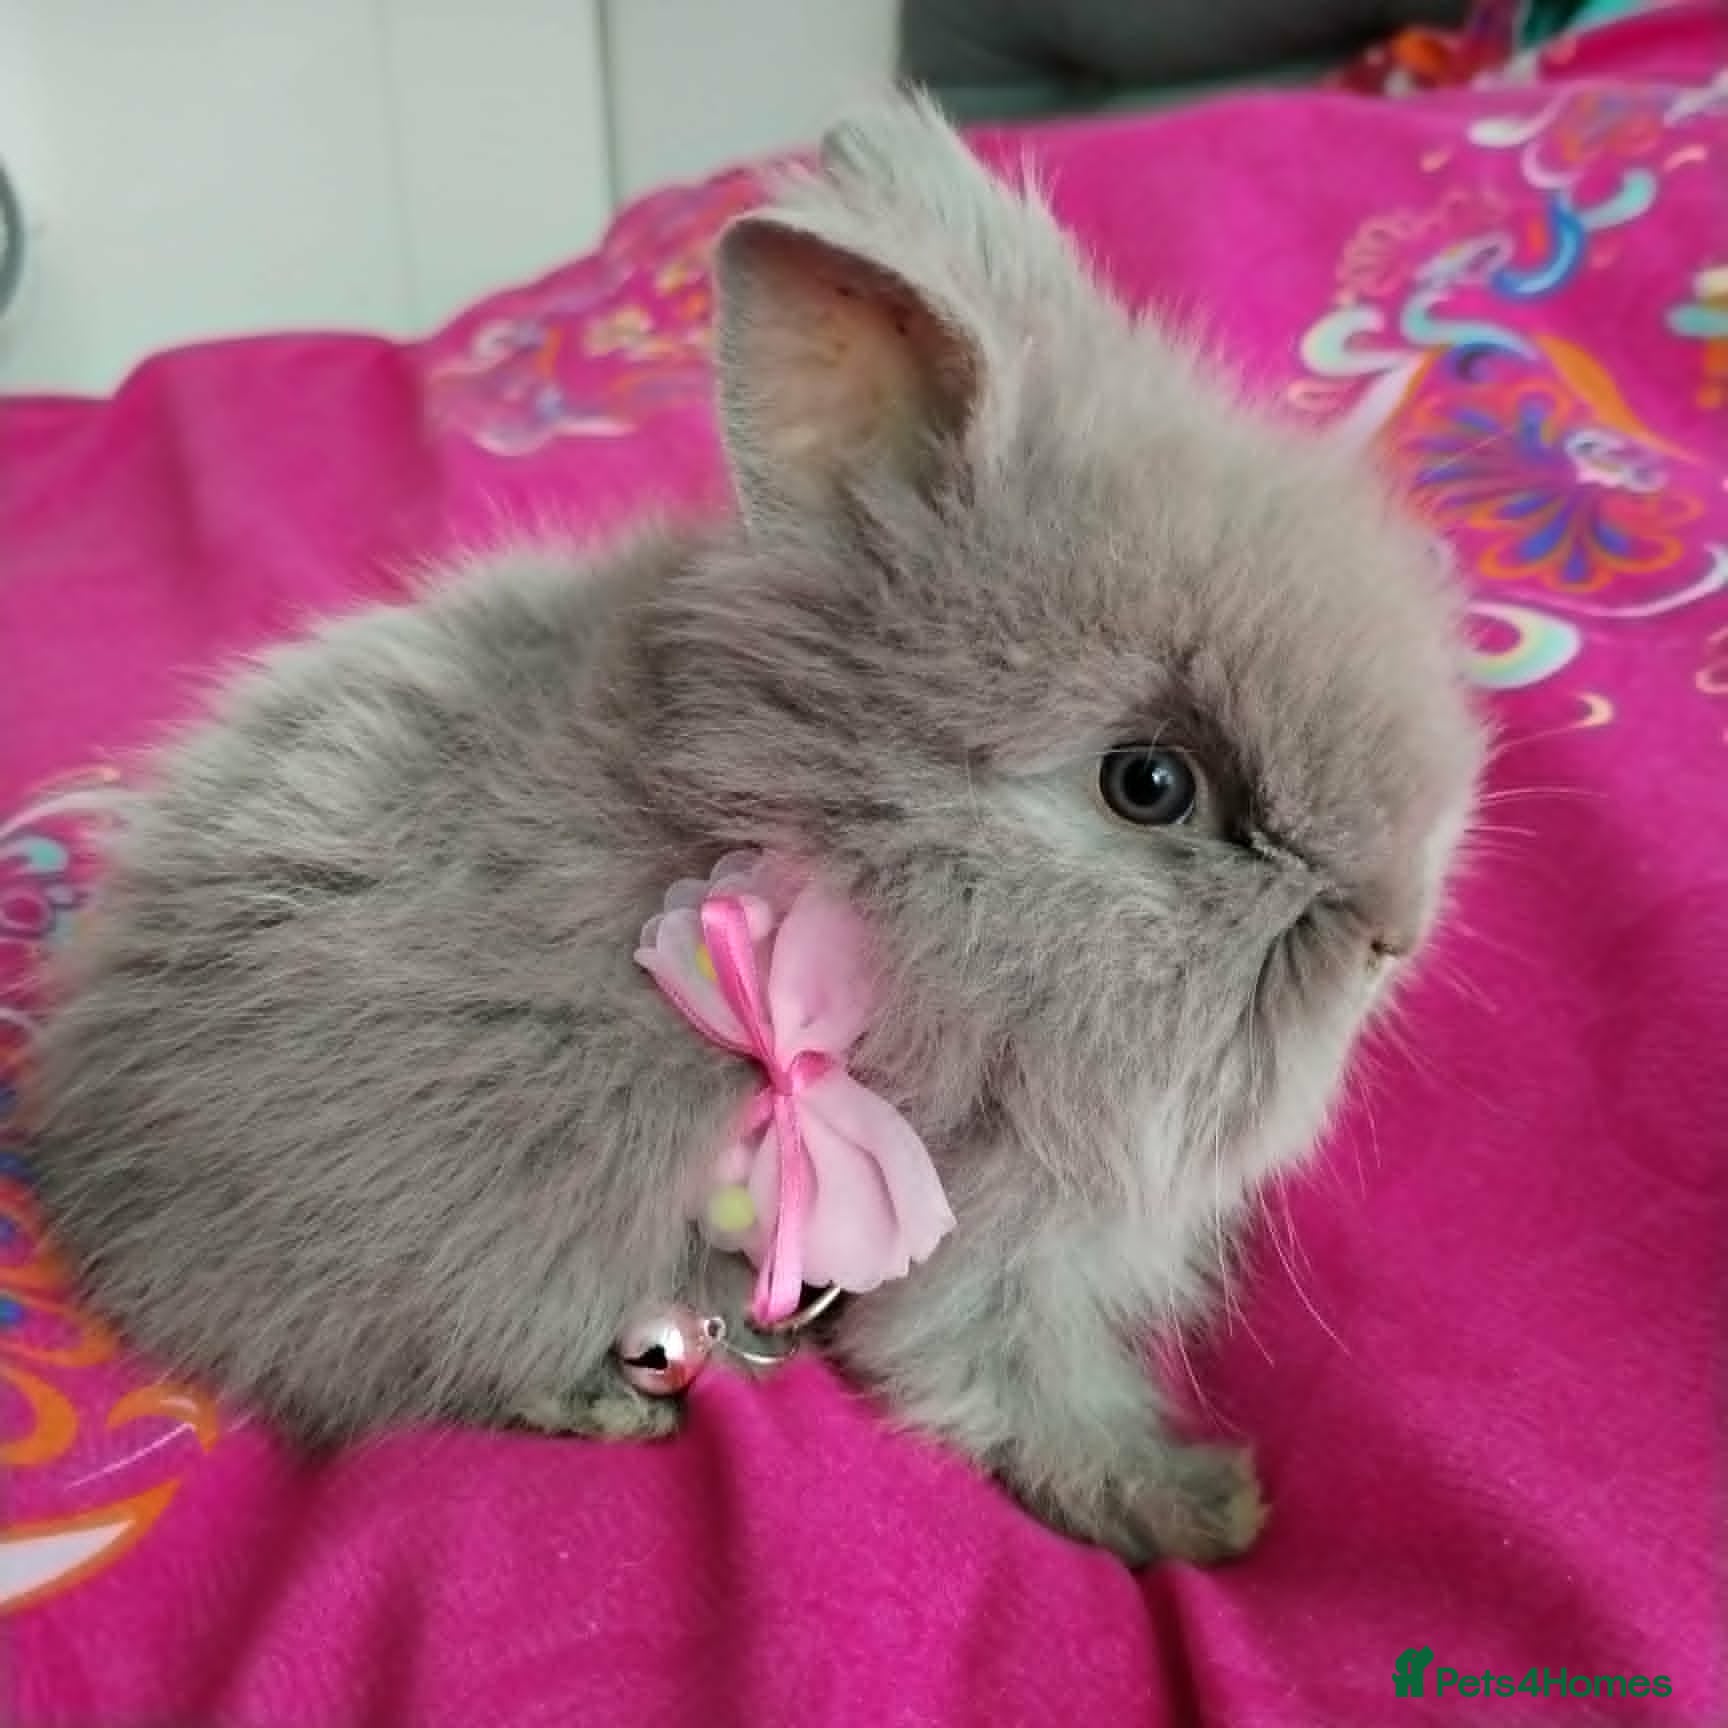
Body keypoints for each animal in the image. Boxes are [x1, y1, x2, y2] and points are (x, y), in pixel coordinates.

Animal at [29, 94, 1483, 1566]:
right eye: (1150, 784)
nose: (1396, 931)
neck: (854, 847)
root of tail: (89, 1154)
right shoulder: (983, 1247)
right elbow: (1019, 1387)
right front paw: (1194, 1505)